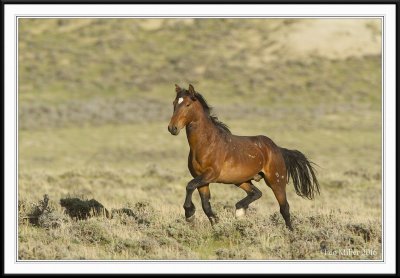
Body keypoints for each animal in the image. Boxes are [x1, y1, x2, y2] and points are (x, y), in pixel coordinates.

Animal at [167, 84, 320, 230]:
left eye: (188, 104)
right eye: (174, 103)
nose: (172, 128)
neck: (206, 144)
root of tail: (277, 149)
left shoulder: (211, 175)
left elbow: (189, 186)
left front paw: (189, 214)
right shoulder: (202, 180)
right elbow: (206, 206)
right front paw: (215, 223)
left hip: (276, 181)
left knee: (284, 208)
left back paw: (289, 232)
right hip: (241, 180)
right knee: (256, 193)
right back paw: (240, 210)